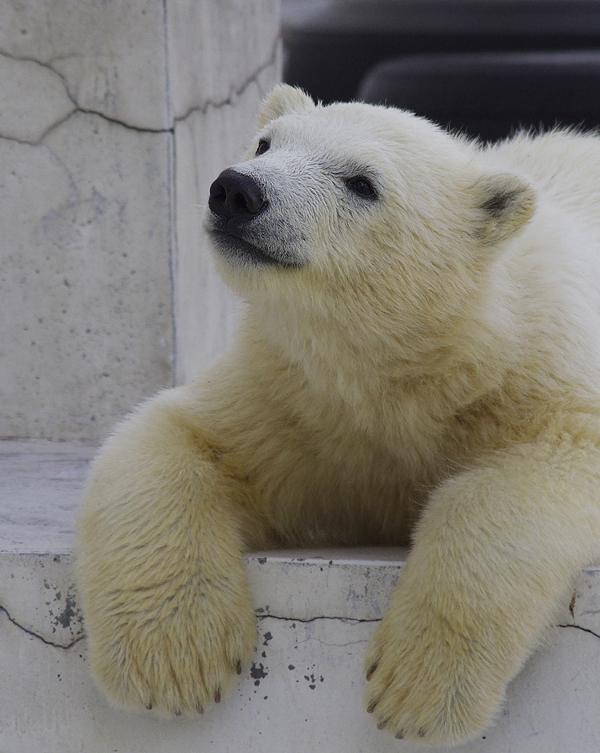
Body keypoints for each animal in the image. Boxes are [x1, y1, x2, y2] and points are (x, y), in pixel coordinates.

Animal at [76, 85, 600, 744]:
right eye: (264, 143)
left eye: (362, 182)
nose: (236, 191)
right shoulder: (291, 399)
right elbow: (177, 436)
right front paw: (173, 660)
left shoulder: (541, 374)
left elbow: (535, 471)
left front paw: (417, 689)